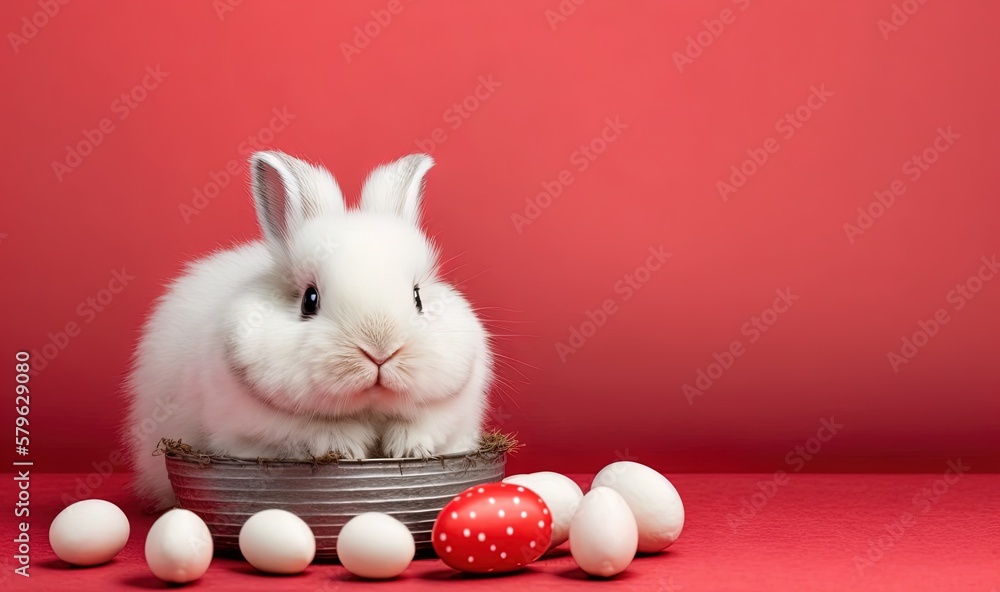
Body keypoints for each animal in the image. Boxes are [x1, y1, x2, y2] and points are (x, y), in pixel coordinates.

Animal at [125, 153, 492, 508]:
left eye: (417, 298)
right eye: (309, 300)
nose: (379, 351)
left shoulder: (451, 414)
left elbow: (424, 426)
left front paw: (408, 449)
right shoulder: (255, 429)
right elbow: (308, 432)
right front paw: (347, 447)